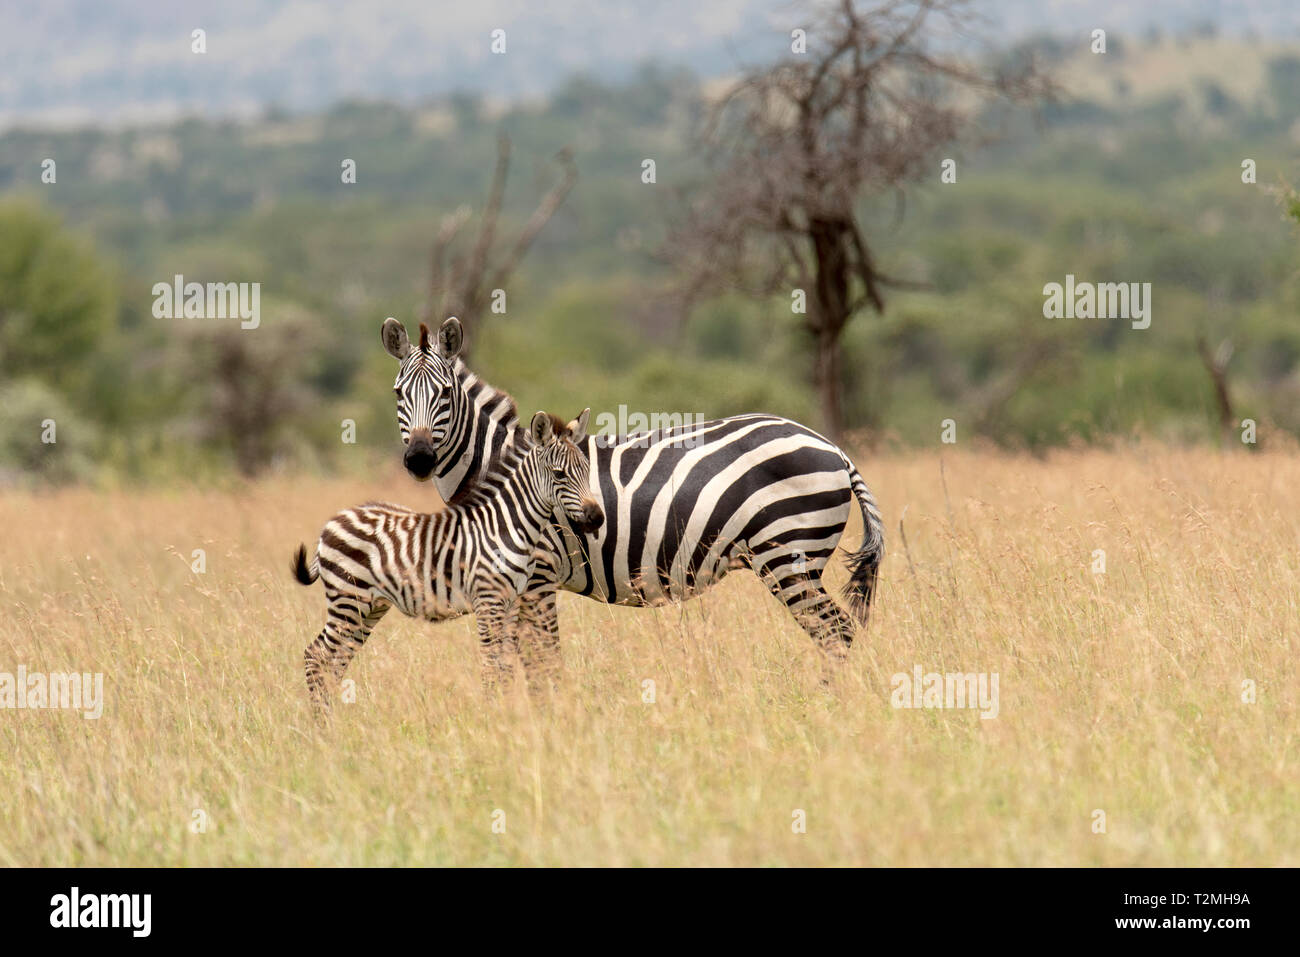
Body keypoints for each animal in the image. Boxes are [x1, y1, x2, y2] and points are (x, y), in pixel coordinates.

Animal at [293, 408, 603, 709]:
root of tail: (331, 523)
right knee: (316, 656)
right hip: (348, 598)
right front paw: (492, 716)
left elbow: (504, 667)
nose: (597, 518)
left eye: (587, 470)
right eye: (560, 474)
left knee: (333, 662)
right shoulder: (488, 600)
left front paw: (505, 715)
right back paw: (322, 723)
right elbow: (491, 667)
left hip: (369, 607)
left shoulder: (511, 601)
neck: (506, 525)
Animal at [382, 316, 885, 683]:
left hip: (789, 556)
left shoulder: (538, 580)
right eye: (398, 394)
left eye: (445, 393)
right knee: (836, 632)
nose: (420, 459)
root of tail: (831, 445)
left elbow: (545, 662)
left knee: (836, 632)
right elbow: (527, 660)